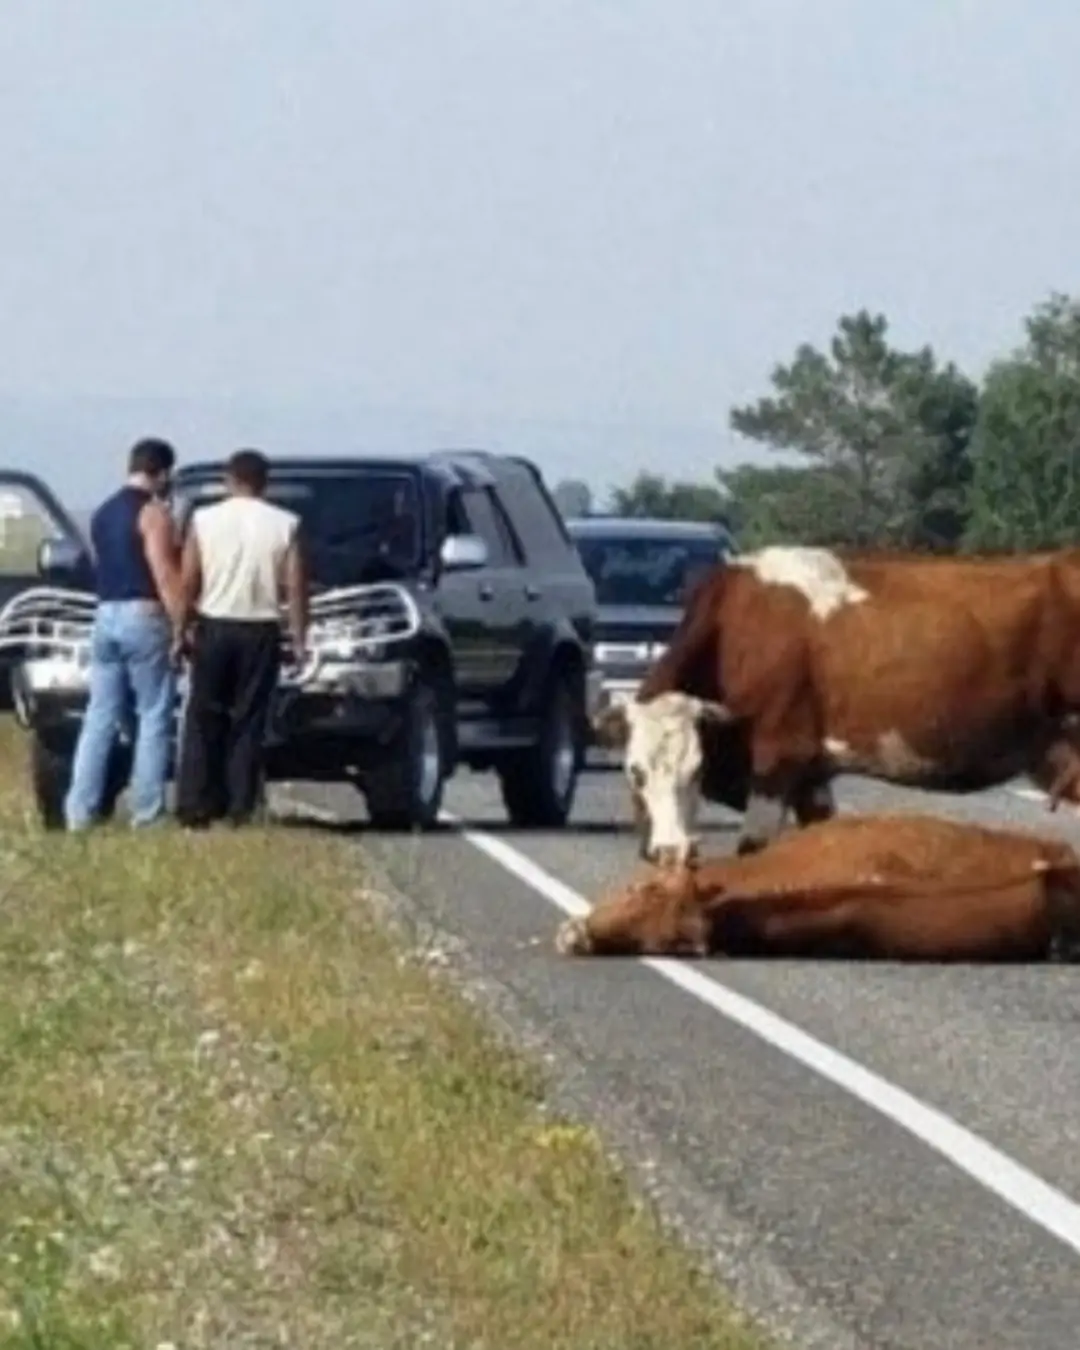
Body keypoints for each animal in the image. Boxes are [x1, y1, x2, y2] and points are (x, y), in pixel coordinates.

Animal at [625, 544, 1080, 855]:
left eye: (696, 769)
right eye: (636, 773)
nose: (670, 851)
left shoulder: (778, 754)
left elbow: (754, 849)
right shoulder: (811, 771)